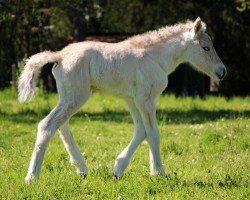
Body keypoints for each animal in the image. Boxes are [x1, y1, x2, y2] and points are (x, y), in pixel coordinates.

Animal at [18, 17, 227, 183]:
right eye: (205, 48)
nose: (222, 71)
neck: (155, 58)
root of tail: (59, 55)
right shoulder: (146, 100)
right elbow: (153, 133)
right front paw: (159, 173)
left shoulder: (132, 100)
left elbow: (141, 131)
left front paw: (118, 169)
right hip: (77, 96)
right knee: (48, 125)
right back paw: (32, 177)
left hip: (68, 96)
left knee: (62, 124)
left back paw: (81, 168)